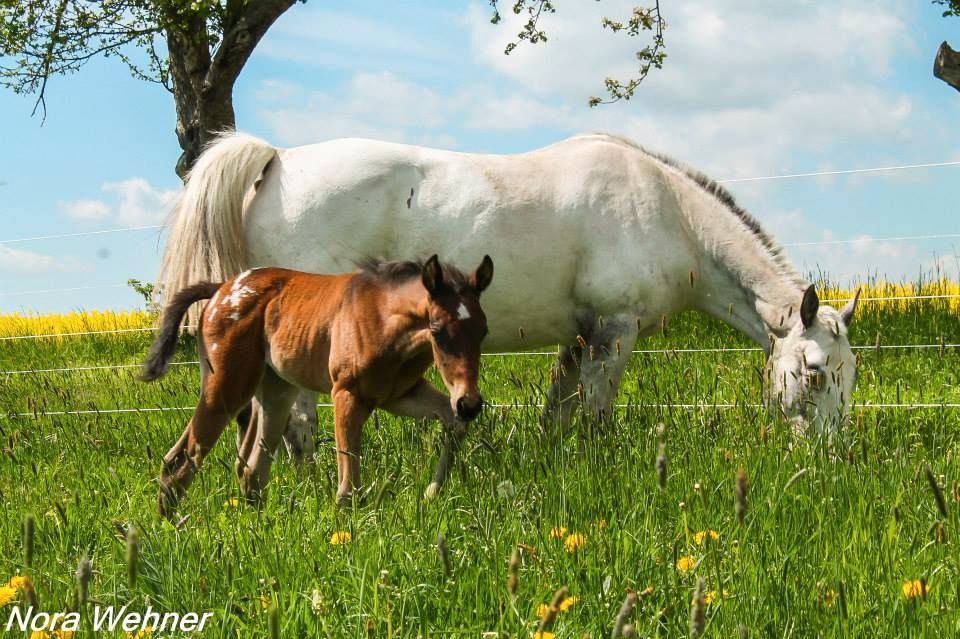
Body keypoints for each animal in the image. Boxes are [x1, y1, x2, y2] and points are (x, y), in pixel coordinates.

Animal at [142, 252, 496, 516]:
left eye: (483, 330)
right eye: (437, 330)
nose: (470, 403)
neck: (381, 316)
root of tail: (221, 288)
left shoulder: (399, 394)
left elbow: (451, 421)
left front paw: (431, 493)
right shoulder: (346, 393)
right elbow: (348, 477)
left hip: (275, 391)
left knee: (251, 470)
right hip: (226, 388)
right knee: (179, 460)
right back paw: (171, 530)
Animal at [161, 132, 860, 460]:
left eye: (849, 374)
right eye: (814, 371)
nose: (833, 454)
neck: (666, 209)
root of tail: (277, 161)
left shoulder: (580, 335)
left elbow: (559, 411)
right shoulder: (615, 329)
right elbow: (597, 413)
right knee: (299, 424)